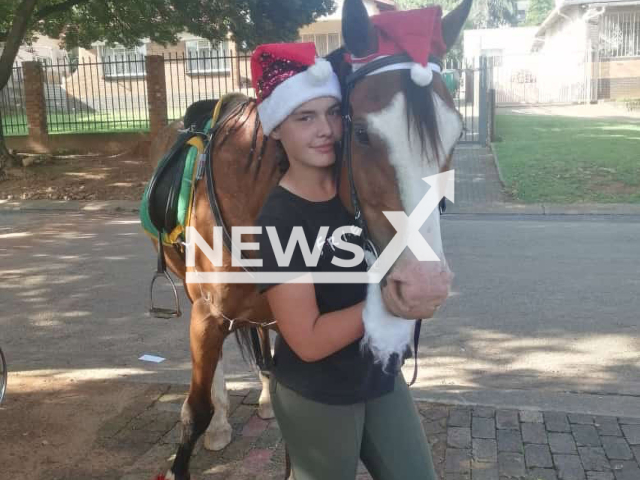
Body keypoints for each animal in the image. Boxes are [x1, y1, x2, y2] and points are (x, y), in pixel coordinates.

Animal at [150, 0, 470, 476]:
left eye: (457, 134)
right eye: (361, 134)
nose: (423, 288)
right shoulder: (207, 314)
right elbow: (196, 408)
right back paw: (223, 424)